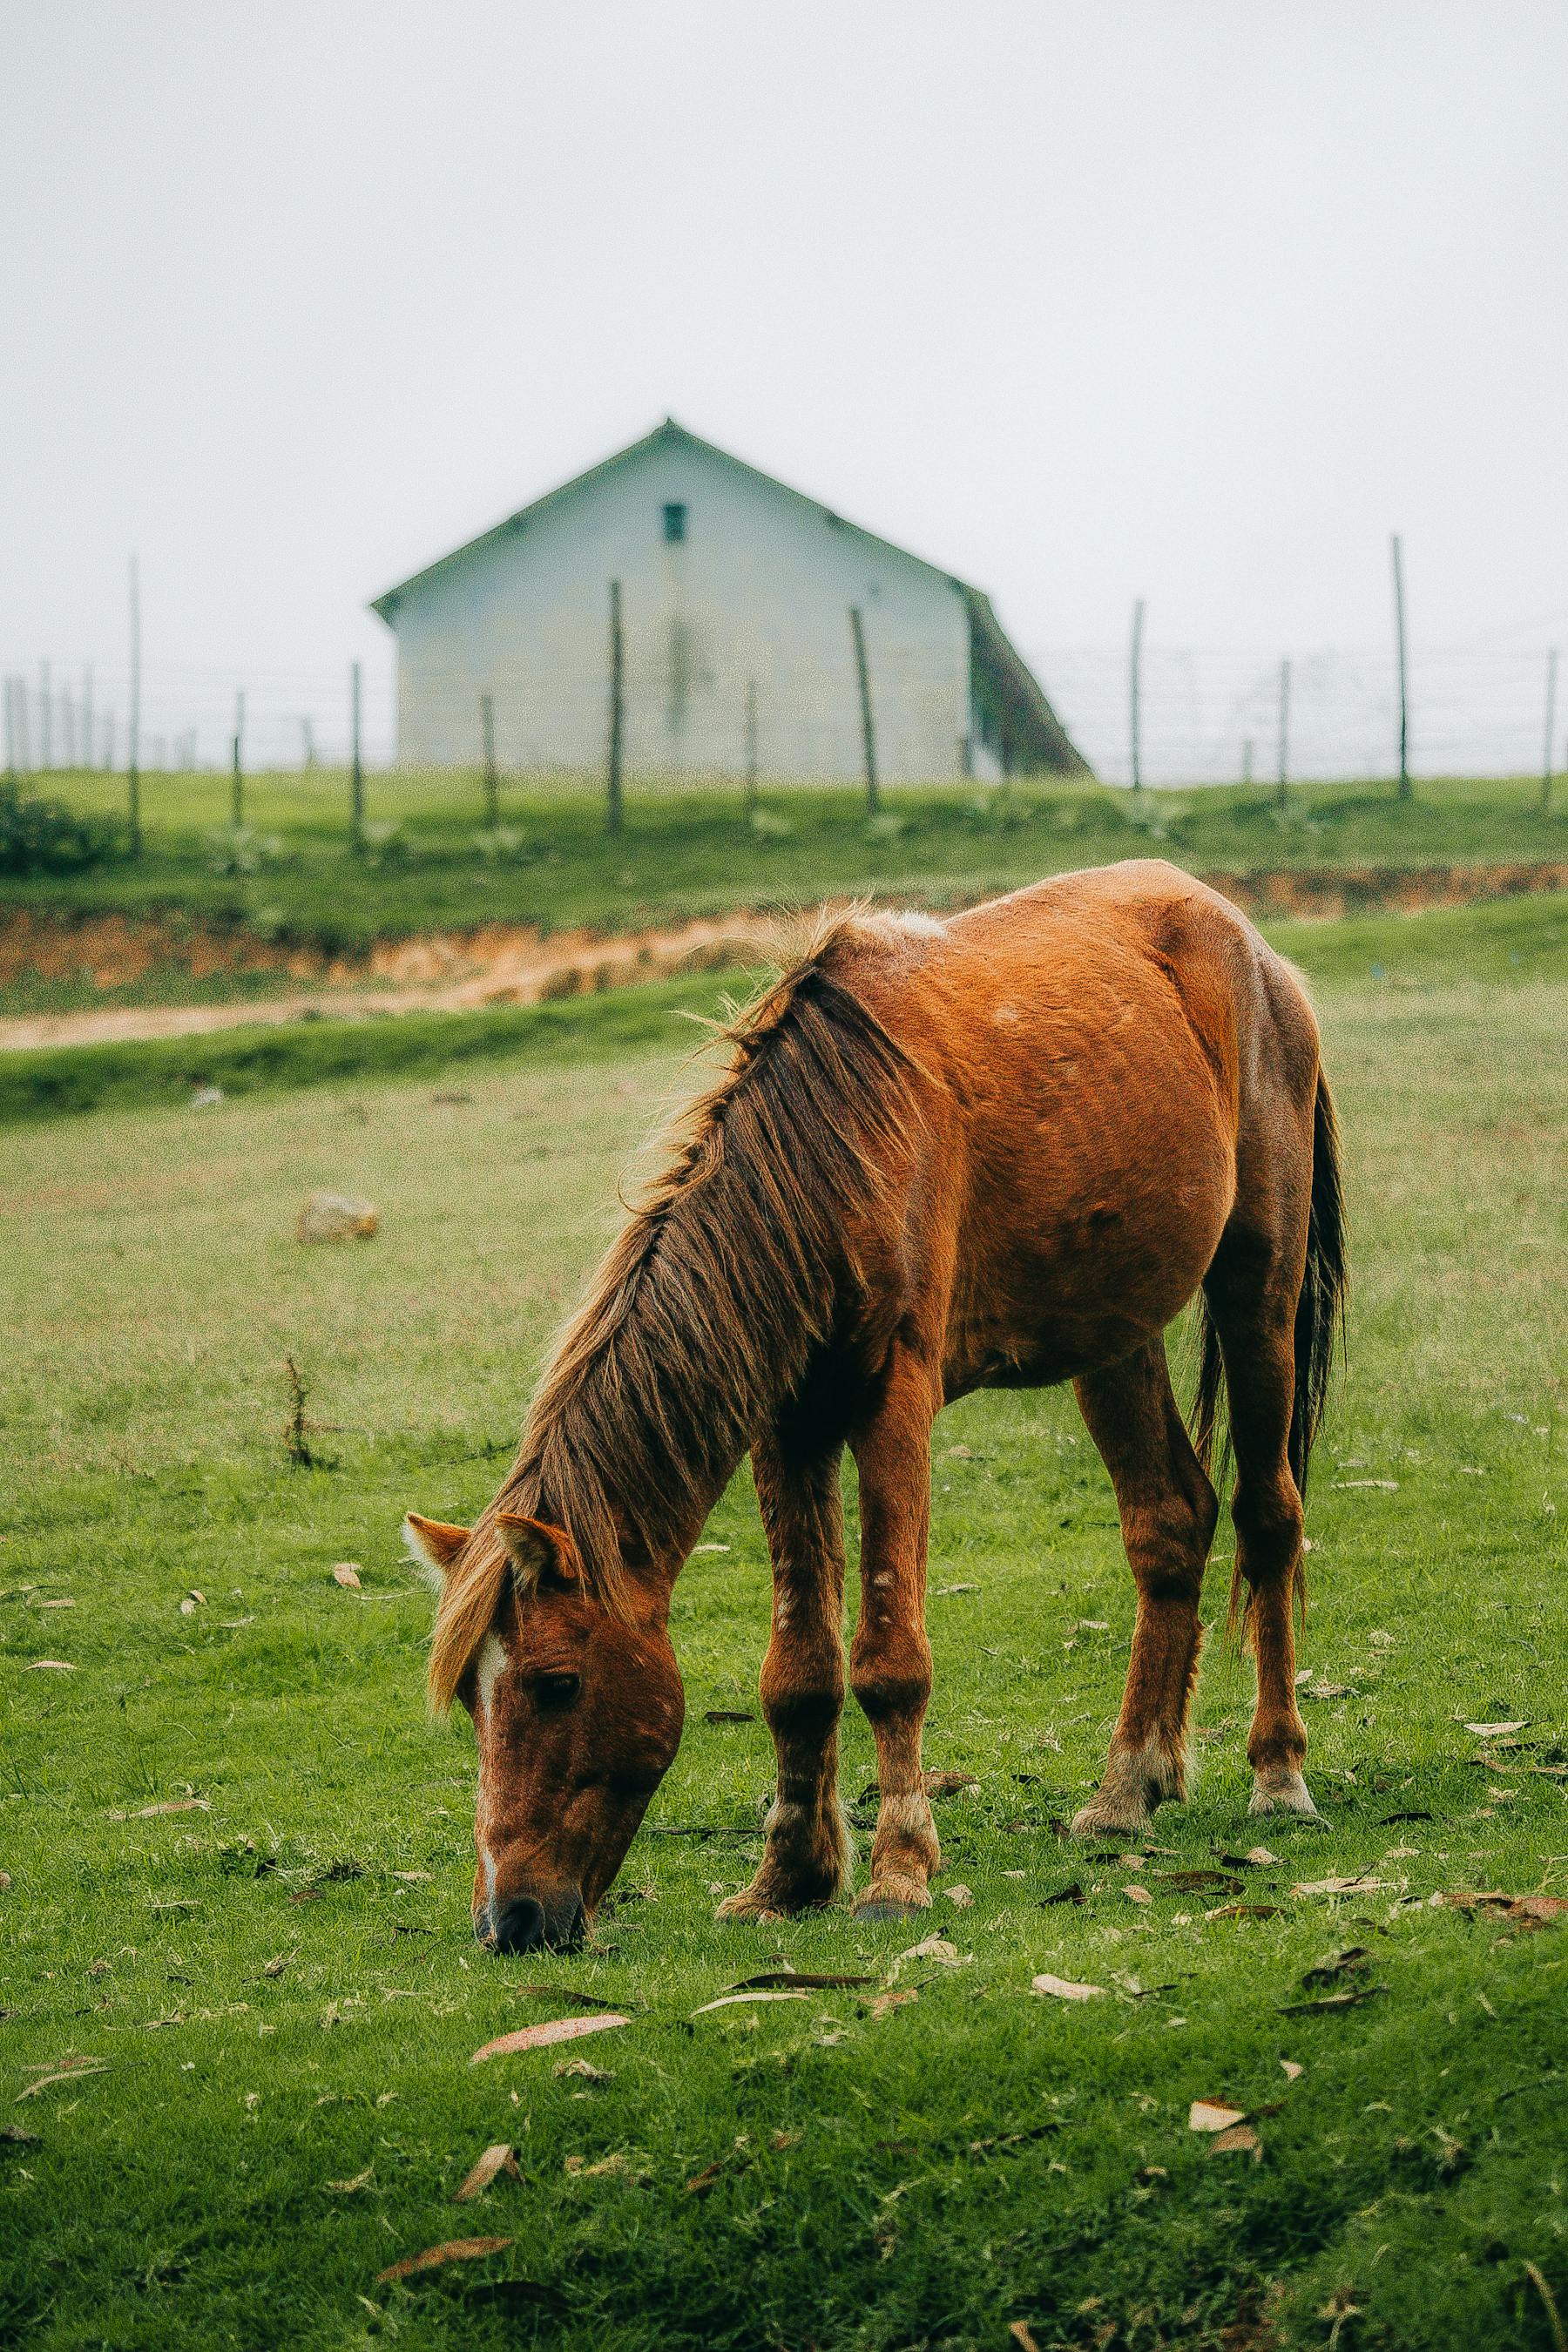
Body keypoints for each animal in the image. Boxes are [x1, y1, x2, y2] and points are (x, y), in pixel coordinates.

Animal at [405, 859, 1346, 1953]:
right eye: (473, 1700)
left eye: (558, 1684)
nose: (511, 1919)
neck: (834, 1150)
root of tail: (1242, 937)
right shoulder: (788, 1425)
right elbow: (798, 1675)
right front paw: (786, 1878)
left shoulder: (894, 1406)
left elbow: (890, 1660)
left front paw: (899, 1872)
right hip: (1113, 1331)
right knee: (1170, 1525)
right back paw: (1126, 1793)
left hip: (1259, 1280)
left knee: (1267, 1515)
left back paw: (1278, 1776)